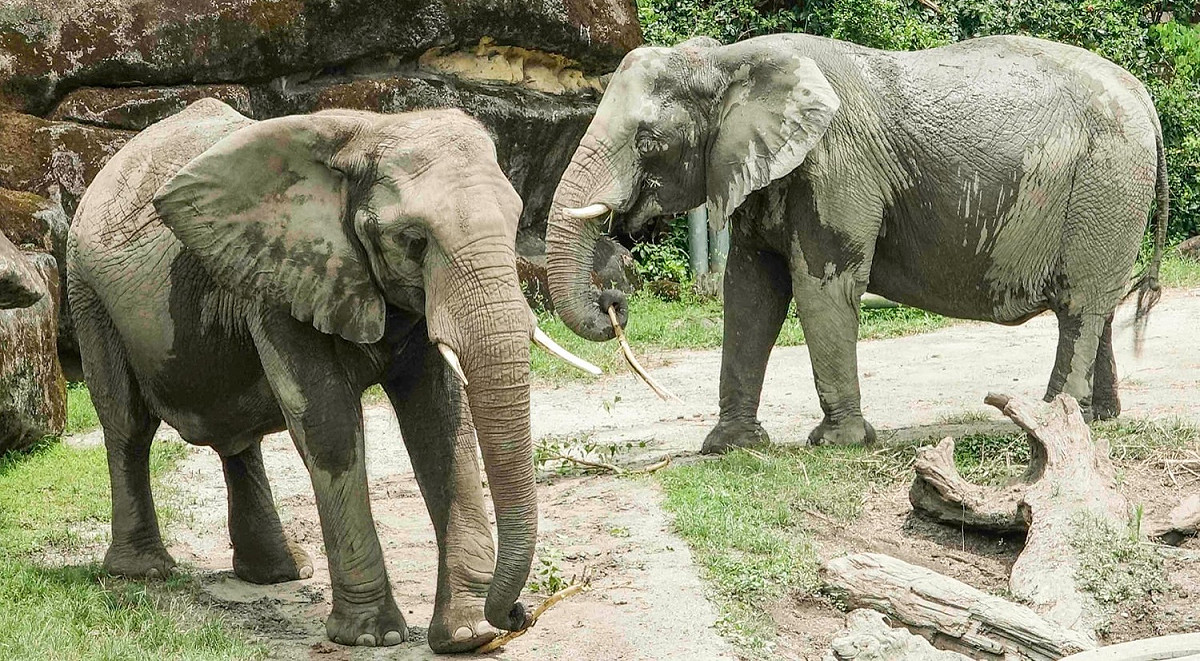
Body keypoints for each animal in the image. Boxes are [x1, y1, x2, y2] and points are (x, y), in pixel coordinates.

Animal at [67, 98, 597, 652]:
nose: (518, 613)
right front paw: (372, 638)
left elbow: (440, 425)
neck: (371, 132)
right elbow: (329, 423)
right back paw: (143, 571)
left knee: (236, 440)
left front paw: (467, 634)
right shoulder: (281, 275)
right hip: (88, 292)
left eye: (515, 224)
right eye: (413, 241)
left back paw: (279, 573)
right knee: (127, 425)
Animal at [545, 34, 1167, 452]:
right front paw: (730, 448)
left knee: (1080, 304)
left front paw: (838, 444)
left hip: (1107, 179)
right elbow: (750, 293)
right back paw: (1100, 418)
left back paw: (1051, 421)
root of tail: (1145, 96)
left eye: (649, 140)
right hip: (1110, 190)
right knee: (1095, 305)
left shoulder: (836, 167)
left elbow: (822, 286)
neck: (728, 61)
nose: (614, 296)